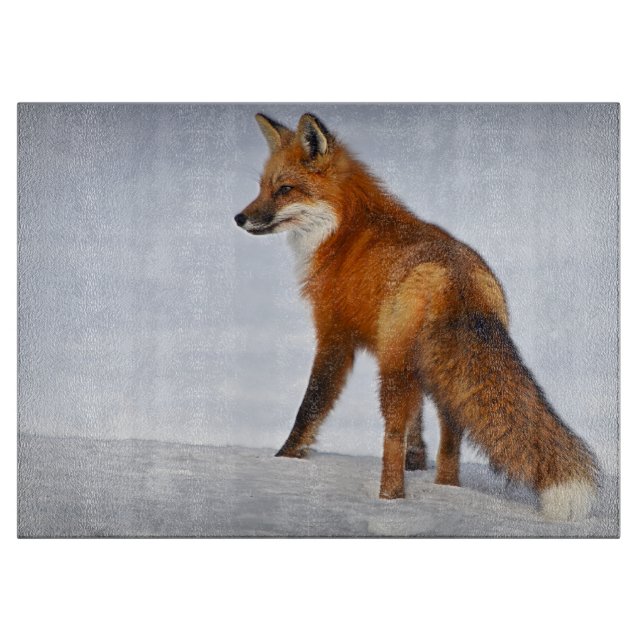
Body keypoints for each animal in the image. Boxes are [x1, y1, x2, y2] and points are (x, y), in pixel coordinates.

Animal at [234, 112, 599, 521]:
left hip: (394, 371)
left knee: (390, 436)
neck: (342, 231)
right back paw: (446, 492)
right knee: (451, 439)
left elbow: (310, 407)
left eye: (285, 189)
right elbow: (418, 426)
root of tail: (457, 276)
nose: (239, 218)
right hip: (438, 372)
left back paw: (389, 501)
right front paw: (418, 462)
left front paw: (283, 461)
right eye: (262, 188)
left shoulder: (335, 335)